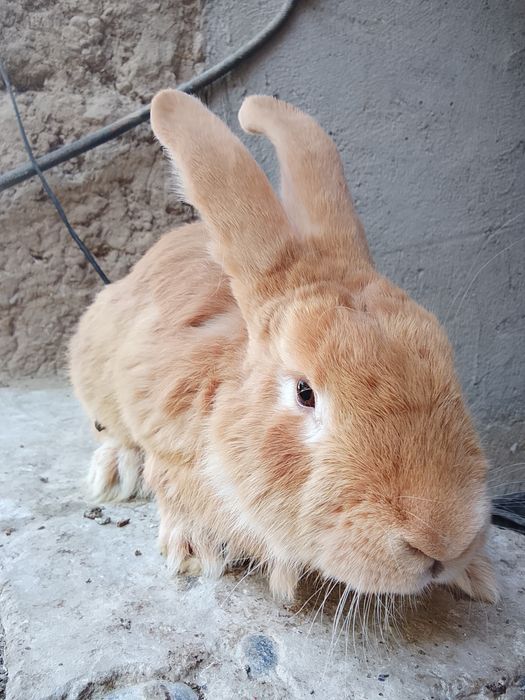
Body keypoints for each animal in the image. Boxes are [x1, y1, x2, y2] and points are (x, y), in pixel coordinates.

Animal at [69, 89, 498, 604]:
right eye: (304, 392)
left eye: (445, 358)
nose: (444, 541)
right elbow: (166, 477)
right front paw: (196, 547)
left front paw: (477, 576)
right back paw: (115, 471)